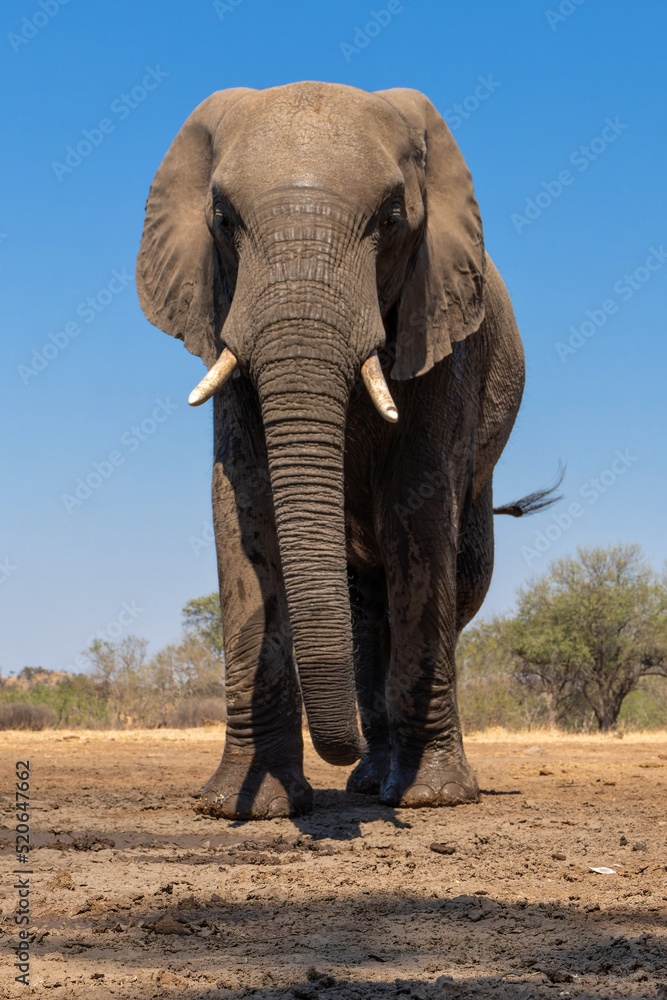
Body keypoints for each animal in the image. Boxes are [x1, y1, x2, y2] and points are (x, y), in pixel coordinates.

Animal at [137, 82, 549, 819]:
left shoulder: (441, 333)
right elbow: (241, 505)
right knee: (363, 610)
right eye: (222, 218)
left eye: (390, 218)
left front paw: (433, 799)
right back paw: (367, 781)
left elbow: (416, 505)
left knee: (457, 580)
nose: (342, 744)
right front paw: (245, 808)